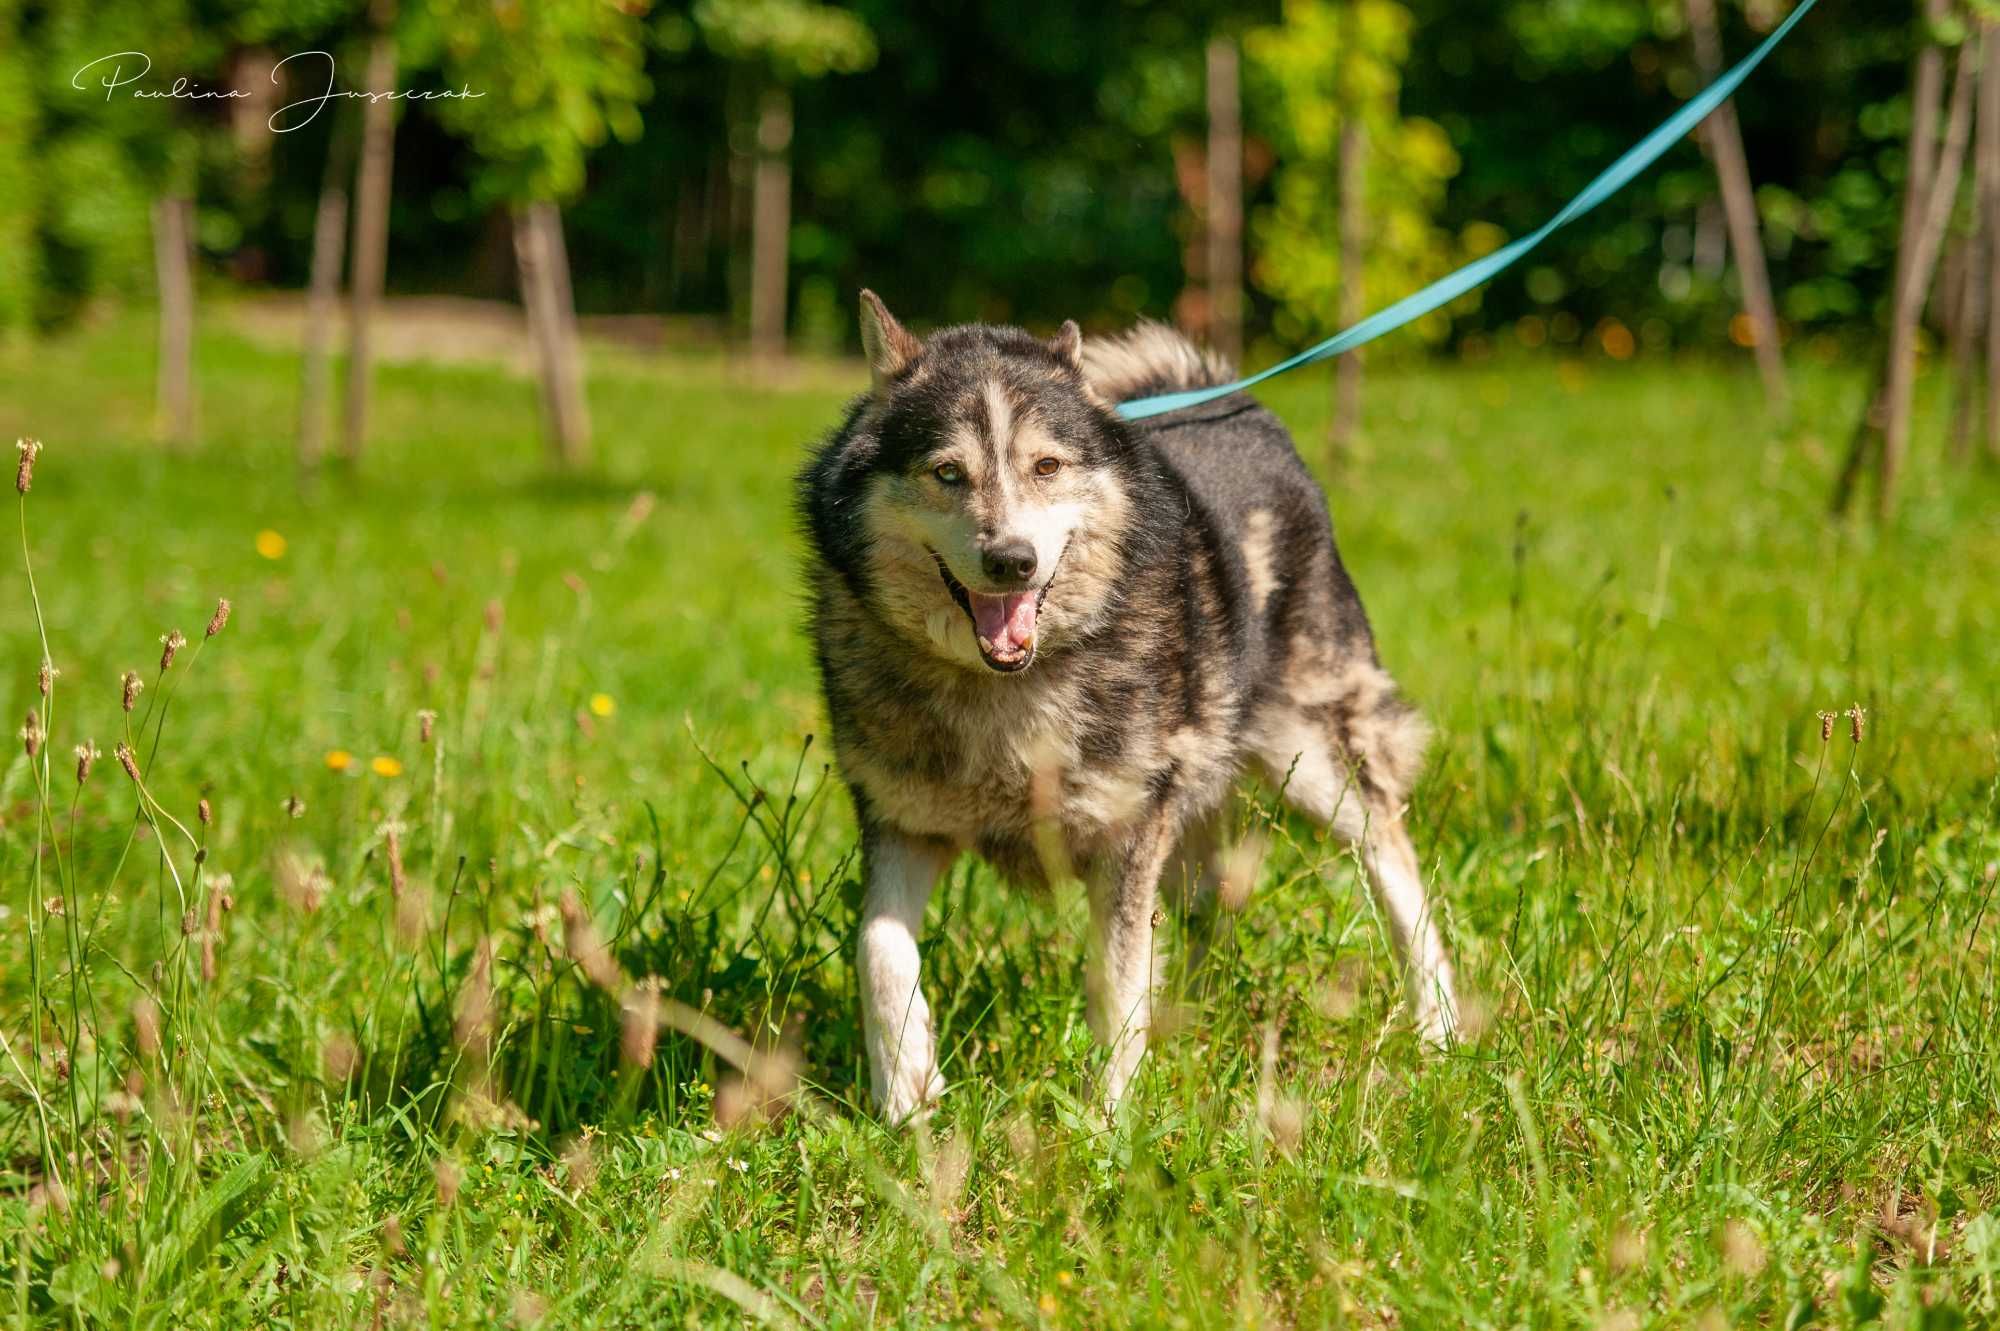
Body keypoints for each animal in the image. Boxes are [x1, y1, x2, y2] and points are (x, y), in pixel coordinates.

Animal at [800, 293, 1472, 1119]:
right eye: (947, 472)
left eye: (1047, 466)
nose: (1011, 560)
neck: (1006, 688)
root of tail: (1214, 394)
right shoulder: (903, 822)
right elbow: (879, 950)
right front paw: (906, 1093)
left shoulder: (1128, 834)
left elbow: (1116, 982)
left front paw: (1110, 1123)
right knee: (1209, 901)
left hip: (1312, 757)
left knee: (1391, 856)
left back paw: (1438, 1024)